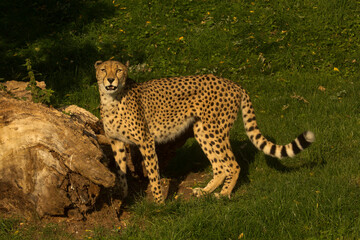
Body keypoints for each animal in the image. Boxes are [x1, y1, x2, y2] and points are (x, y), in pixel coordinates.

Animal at [94, 60, 314, 202]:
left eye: (119, 70)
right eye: (104, 69)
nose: (111, 80)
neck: (111, 100)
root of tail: (234, 84)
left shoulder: (146, 141)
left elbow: (153, 173)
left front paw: (159, 204)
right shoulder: (116, 142)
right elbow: (120, 171)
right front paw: (122, 197)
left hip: (214, 130)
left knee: (232, 165)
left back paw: (223, 195)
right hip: (202, 130)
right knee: (220, 166)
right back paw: (206, 192)